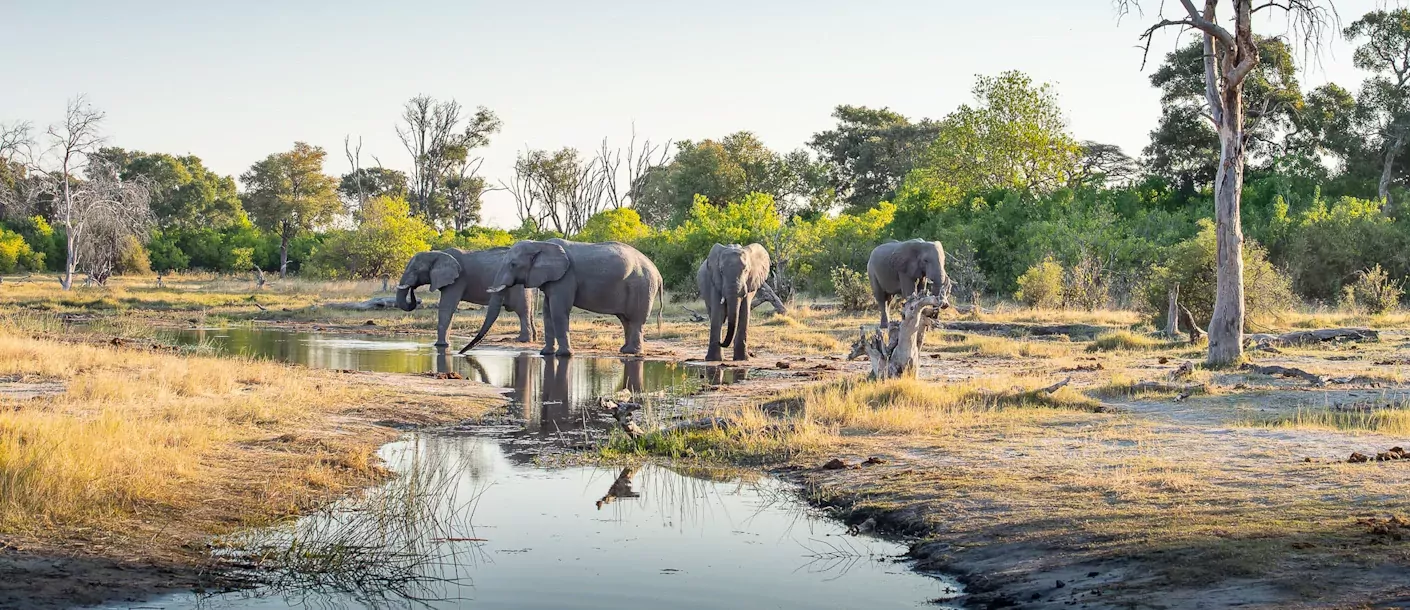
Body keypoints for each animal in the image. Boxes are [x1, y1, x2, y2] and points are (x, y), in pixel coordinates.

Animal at [394, 246, 535, 346]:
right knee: (528, 312)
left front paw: (440, 345)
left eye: (415, 270)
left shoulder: (458, 280)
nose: (412, 289)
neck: (438, 254)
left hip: (517, 287)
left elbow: (447, 307)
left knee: (521, 311)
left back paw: (522, 340)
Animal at [462, 238, 659, 356]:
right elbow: (548, 312)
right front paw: (545, 353)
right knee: (626, 320)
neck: (540, 245)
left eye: (513, 264)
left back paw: (632, 352)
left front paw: (564, 355)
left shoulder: (565, 277)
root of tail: (657, 272)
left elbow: (558, 311)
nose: (462, 353)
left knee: (635, 320)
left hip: (642, 287)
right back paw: (625, 351)